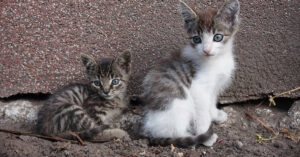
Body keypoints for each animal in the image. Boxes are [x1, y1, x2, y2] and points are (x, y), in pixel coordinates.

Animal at [139, 0, 240, 147]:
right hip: (179, 105)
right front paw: (205, 134)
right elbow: (202, 113)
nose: (206, 50)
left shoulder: (214, 86)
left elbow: (211, 102)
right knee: (173, 131)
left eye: (218, 37)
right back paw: (191, 138)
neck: (216, 60)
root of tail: (150, 131)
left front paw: (215, 115)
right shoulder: (198, 88)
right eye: (197, 39)